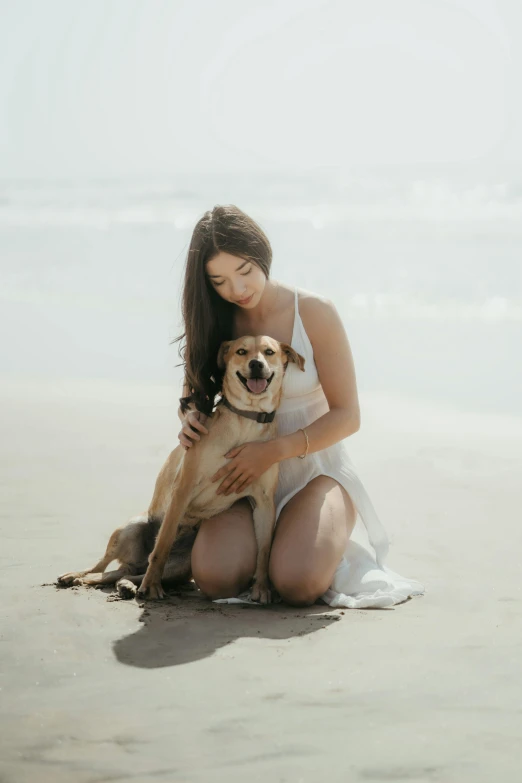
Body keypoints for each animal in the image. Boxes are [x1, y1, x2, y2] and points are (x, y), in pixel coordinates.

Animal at [57, 334, 302, 604]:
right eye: (241, 351)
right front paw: (152, 587)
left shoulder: (264, 502)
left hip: (181, 565)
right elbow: (162, 544)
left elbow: (264, 550)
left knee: (122, 572)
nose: (256, 364)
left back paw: (125, 585)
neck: (245, 420)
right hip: (130, 530)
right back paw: (77, 576)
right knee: (104, 565)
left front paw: (261, 588)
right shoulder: (183, 490)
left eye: (269, 352)